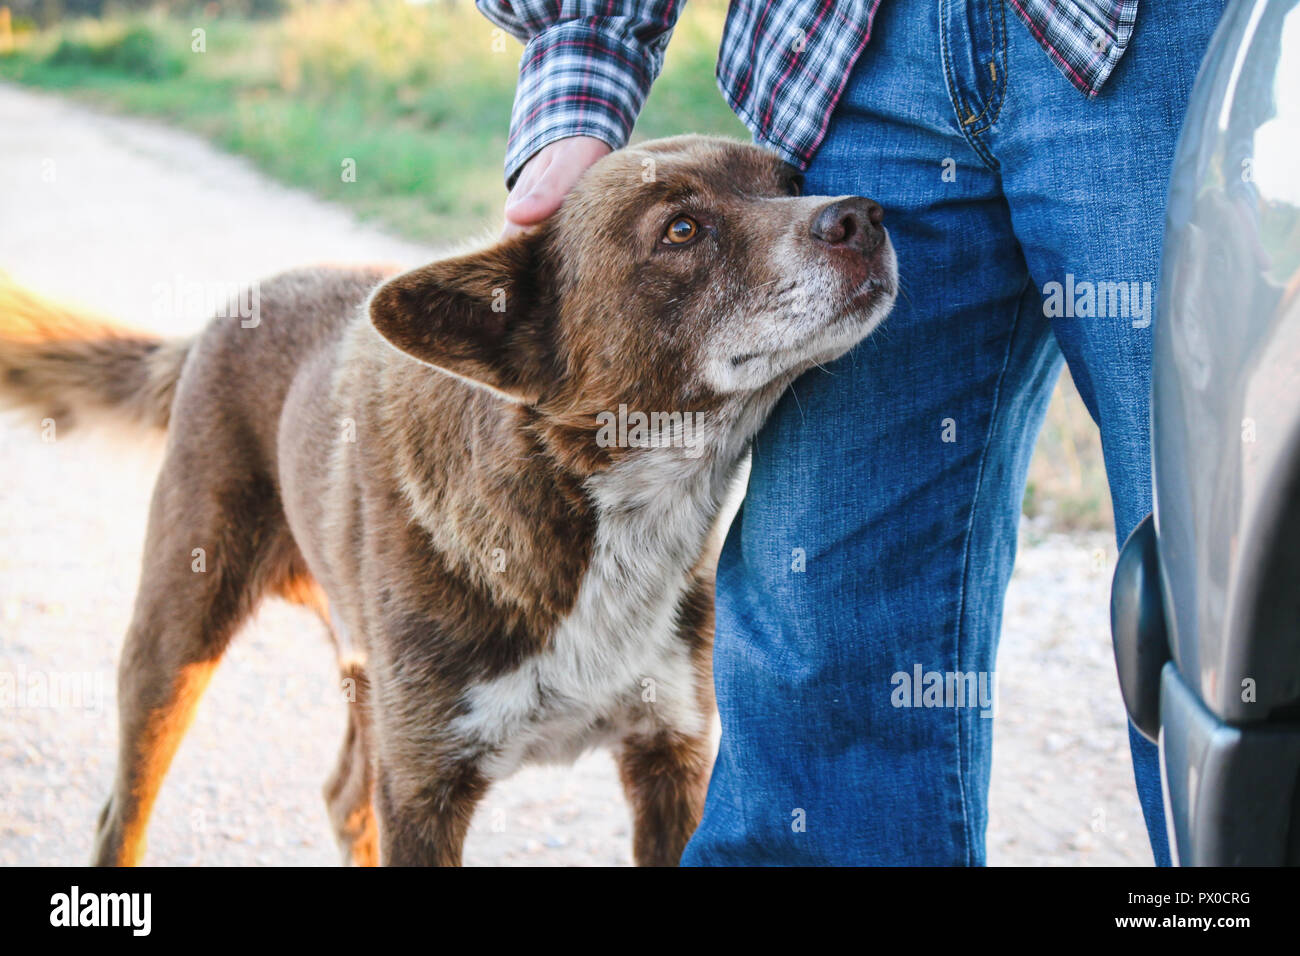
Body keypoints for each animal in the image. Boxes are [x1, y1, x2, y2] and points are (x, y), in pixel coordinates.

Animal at [0, 136, 894, 868]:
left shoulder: (669, 760)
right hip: (176, 636)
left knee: (342, 794)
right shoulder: (424, 792)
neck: (601, 513)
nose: (864, 216)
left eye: (792, 183)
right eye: (681, 229)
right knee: (124, 812)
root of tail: (222, 316)